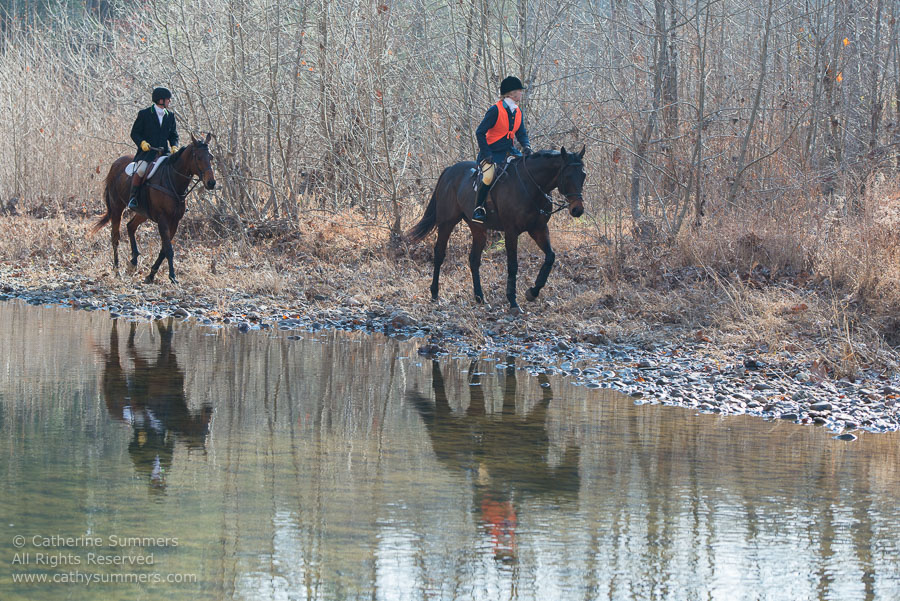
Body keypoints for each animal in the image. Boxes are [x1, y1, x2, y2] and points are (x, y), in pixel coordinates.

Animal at [90, 134, 218, 284]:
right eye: (198, 157)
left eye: (211, 157)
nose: (211, 183)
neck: (172, 180)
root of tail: (115, 164)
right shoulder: (163, 220)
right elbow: (168, 249)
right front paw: (172, 276)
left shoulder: (174, 221)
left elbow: (164, 249)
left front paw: (151, 275)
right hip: (117, 207)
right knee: (115, 237)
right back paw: (117, 270)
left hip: (143, 213)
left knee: (130, 226)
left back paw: (133, 262)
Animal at [404, 148, 588, 312]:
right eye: (568, 175)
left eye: (584, 175)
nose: (577, 210)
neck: (530, 185)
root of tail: (450, 170)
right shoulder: (511, 231)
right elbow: (512, 265)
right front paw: (513, 302)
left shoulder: (539, 229)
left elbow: (550, 257)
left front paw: (532, 292)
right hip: (447, 223)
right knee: (439, 254)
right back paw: (435, 294)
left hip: (478, 228)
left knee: (474, 259)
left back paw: (479, 297)